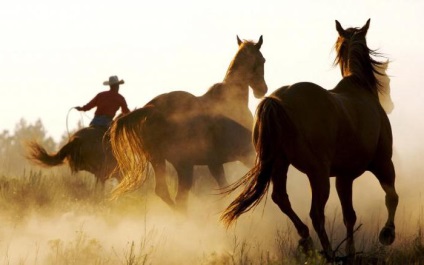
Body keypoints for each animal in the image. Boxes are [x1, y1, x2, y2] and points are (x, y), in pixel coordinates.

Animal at [111, 36, 266, 210]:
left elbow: (224, 187)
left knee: (165, 192)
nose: (262, 90)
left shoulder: (215, 162)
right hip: (184, 165)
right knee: (179, 197)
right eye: (262, 60)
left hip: (160, 160)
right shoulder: (245, 153)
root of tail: (151, 108)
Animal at [220, 19, 400, 260]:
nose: (390, 104)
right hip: (318, 174)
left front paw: (351, 252)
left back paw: (306, 240)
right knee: (316, 213)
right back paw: (328, 252)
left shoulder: (344, 176)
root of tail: (277, 101)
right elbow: (391, 197)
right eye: (386, 80)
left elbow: (349, 215)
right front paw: (387, 233)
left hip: (280, 165)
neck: (360, 89)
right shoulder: (383, 163)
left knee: (282, 199)